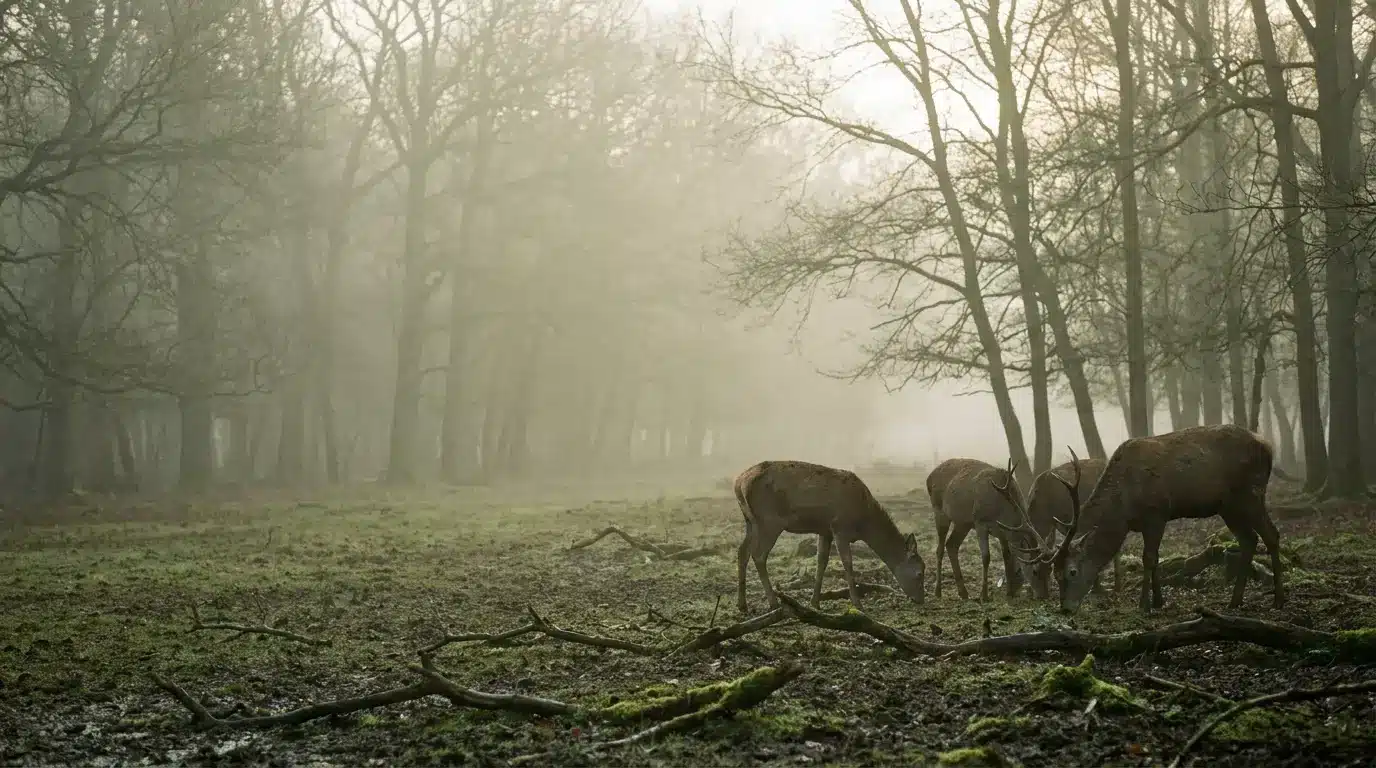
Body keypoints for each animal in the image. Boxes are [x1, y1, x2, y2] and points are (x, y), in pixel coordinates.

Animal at [734, 460, 925, 615]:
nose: (921, 599)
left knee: (742, 551)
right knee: (758, 555)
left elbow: (822, 562)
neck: (863, 522)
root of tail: (738, 483)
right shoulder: (840, 527)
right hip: (770, 520)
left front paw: (815, 602)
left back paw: (742, 605)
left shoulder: (825, 531)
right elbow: (847, 563)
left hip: (750, 521)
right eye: (919, 572)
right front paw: (858, 604)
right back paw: (774, 603)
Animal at [926, 458, 1044, 601]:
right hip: (939, 511)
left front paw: (1009, 592)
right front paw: (984, 595)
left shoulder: (1003, 532)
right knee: (940, 549)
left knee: (952, 545)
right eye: (1035, 571)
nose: (1044, 595)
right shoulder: (980, 522)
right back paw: (938, 592)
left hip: (963, 523)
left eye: (1050, 570)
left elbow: (1007, 556)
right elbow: (986, 557)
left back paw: (963, 593)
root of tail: (929, 477)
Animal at [1015, 425, 1285, 615]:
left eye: (1072, 572)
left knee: (1271, 534)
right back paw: (1235, 601)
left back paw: (1278, 599)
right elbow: (1155, 559)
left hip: (1250, 493)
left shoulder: (1156, 513)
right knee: (1249, 539)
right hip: (1228, 506)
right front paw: (1158, 601)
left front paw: (1144, 604)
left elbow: (1150, 558)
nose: (1066, 608)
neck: (1124, 507)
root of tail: (1268, 446)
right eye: (1055, 573)